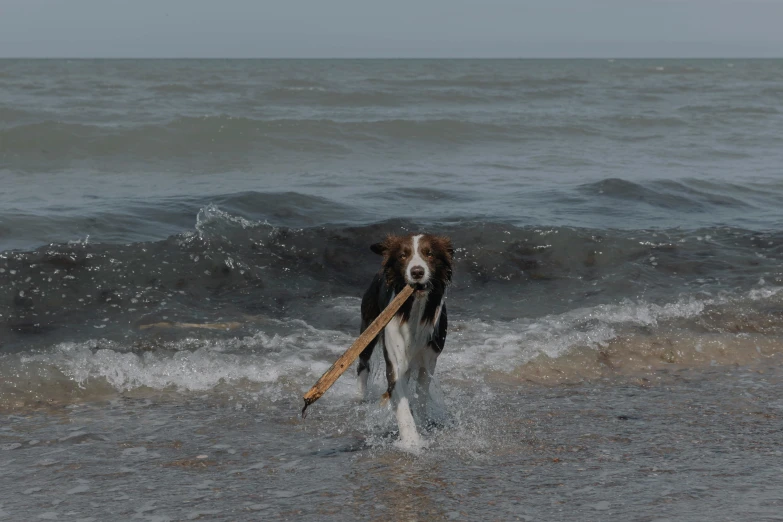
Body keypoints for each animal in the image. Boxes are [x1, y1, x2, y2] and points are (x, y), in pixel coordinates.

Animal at [356, 234, 454, 444]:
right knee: (363, 363)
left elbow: (422, 393)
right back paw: (359, 396)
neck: (415, 309)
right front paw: (411, 442)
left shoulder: (429, 359)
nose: (417, 272)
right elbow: (401, 402)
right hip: (369, 324)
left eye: (429, 253)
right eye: (403, 255)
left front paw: (421, 422)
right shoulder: (395, 359)